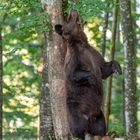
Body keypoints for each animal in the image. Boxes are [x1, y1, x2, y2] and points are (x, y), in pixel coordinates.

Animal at [54, 10, 121, 139]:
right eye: (69, 17)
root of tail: (89, 120)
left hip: (99, 115)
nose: (73, 10)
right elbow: (73, 74)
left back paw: (108, 133)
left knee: (100, 127)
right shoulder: (74, 58)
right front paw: (93, 79)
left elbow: (104, 69)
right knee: (77, 128)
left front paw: (117, 68)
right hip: (76, 111)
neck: (81, 43)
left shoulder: (94, 54)